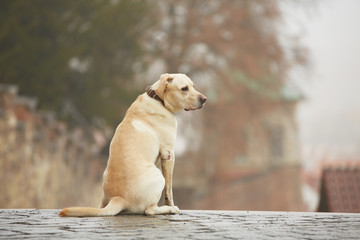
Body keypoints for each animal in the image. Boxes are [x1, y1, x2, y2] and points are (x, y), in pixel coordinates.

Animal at [58, 73, 205, 218]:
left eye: (193, 86)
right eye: (184, 88)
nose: (204, 99)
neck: (158, 100)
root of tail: (119, 198)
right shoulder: (168, 154)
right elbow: (169, 190)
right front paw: (171, 205)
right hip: (159, 176)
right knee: (150, 210)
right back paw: (169, 209)